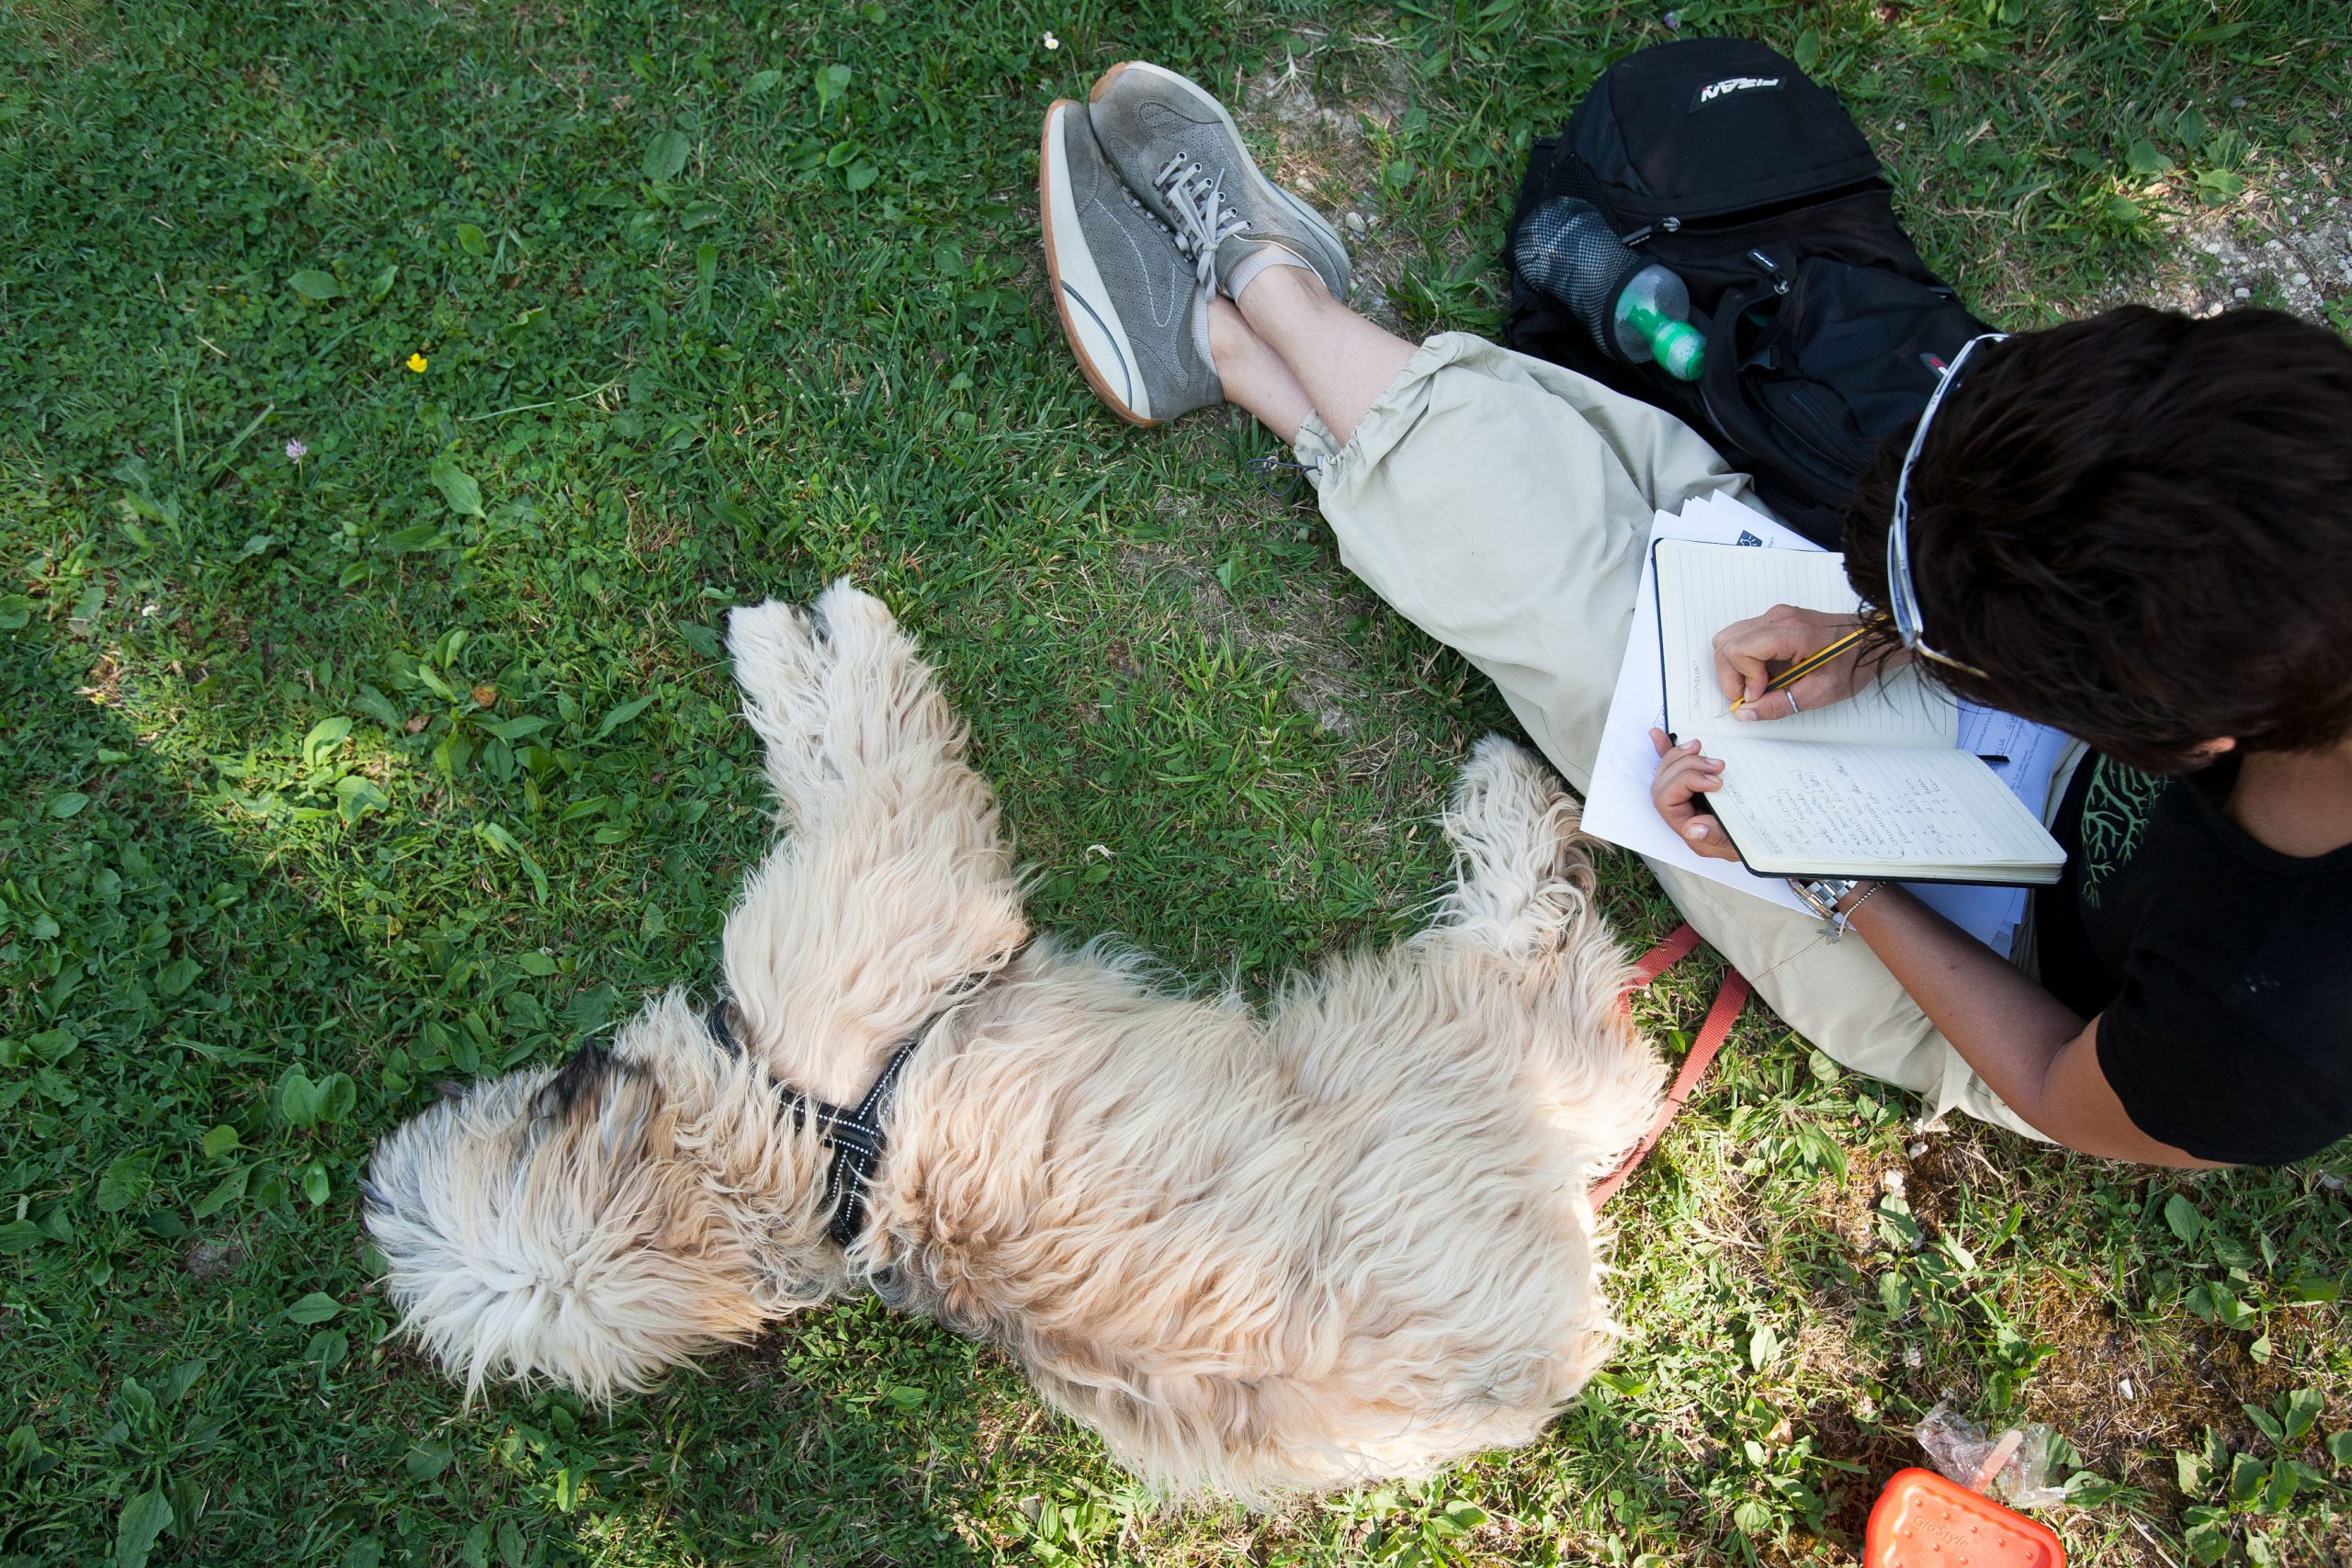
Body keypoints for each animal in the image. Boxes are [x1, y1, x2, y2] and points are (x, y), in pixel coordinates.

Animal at [362, 582, 1656, 1504]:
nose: (386, 1162)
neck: (787, 1143)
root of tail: (1542, 1344)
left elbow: (838, 729)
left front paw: (786, 632)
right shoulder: (898, 863)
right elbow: (857, 731)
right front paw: (809, 630)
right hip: (1447, 1033)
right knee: (1561, 955)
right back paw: (1518, 794)